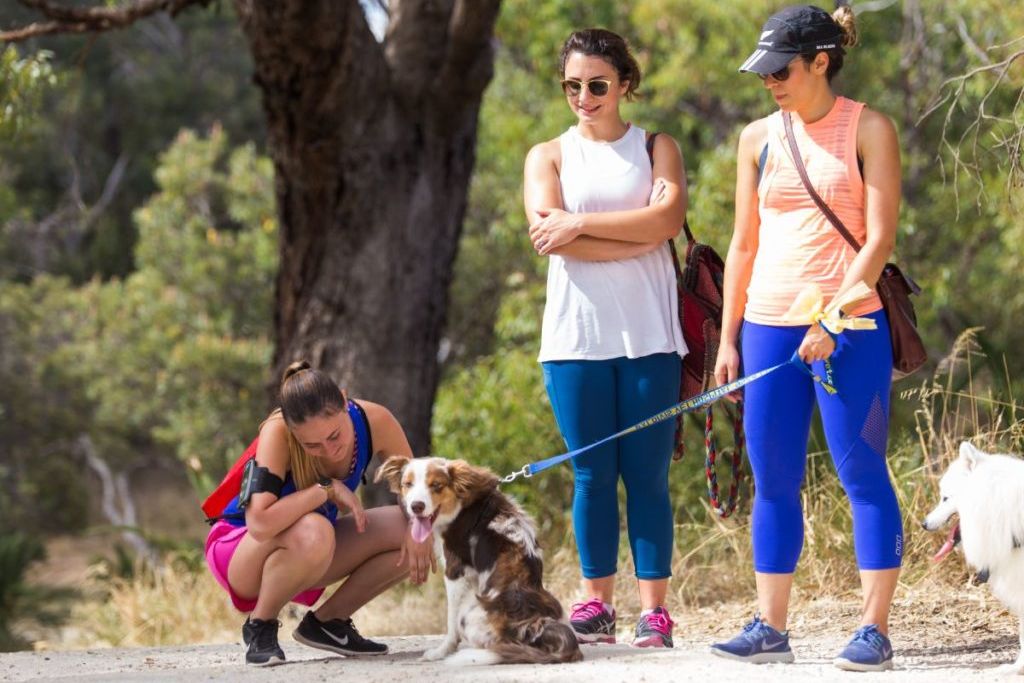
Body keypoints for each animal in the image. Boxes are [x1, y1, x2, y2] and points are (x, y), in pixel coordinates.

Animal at [376, 456, 585, 663]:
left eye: (436, 485)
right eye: (408, 484)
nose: (416, 507)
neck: (462, 505)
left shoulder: (455, 572)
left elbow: (451, 622)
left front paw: (441, 652)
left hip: (470, 615)